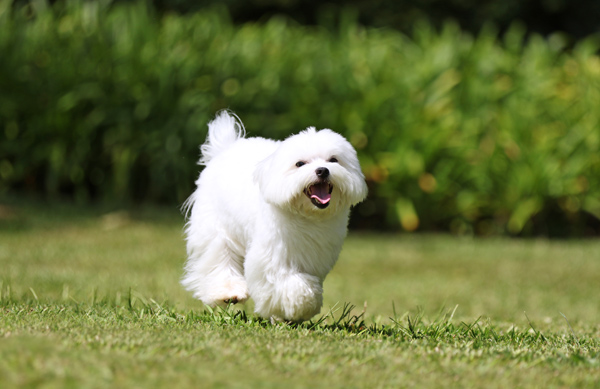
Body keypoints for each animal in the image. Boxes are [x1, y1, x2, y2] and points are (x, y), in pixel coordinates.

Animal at [180, 110, 368, 322]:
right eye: (300, 164)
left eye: (333, 160)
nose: (322, 170)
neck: (306, 216)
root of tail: (225, 148)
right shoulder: (273, 254)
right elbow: (288, 283)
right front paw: (300, 305)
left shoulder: (316, 254)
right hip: (215, 226)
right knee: (219, 256)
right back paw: (228, 292)